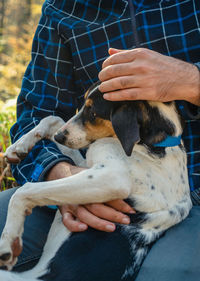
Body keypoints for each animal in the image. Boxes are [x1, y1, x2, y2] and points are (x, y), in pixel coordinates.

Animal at [0, 82, 192, 280]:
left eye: (93, 112)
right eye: (84, 105)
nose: (60, 137)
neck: (155, 144)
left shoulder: (112, 177)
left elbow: (25, 190)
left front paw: (9, 241)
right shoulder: (86, 164)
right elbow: (53, 118)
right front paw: (18, 147)